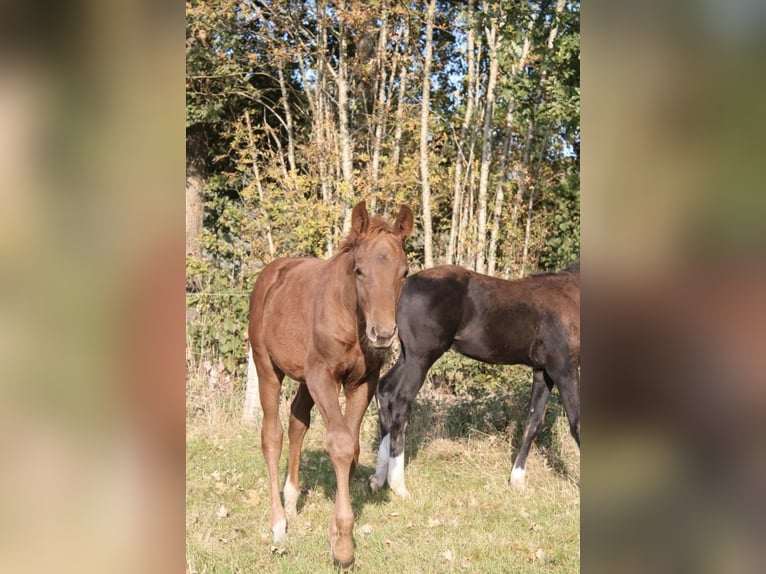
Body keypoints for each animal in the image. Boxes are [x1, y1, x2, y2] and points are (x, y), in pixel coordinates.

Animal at [248, 201, 413, 568]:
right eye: (359, 271)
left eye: (404, 272)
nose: (383, 334)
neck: (351, 316)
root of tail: (272, 272)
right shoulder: (322, 375)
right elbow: (339, 444)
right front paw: (344, 547)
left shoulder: (362, 382)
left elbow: (352, 448)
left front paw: (336, 533)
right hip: (267, 368)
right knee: (272, 435)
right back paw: (278, 523)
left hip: (304, 377)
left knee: (297, 420)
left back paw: (292, 496)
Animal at [370, 263, 580, 497]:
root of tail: (405, 285)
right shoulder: (563, 369)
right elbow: (577, 423)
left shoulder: (543, 372)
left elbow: (533, 423)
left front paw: (517, 481)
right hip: (421, 358)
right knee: (400, 402)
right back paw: (398, 485)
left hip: (408, 357)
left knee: (385, 391)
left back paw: (378, 478)